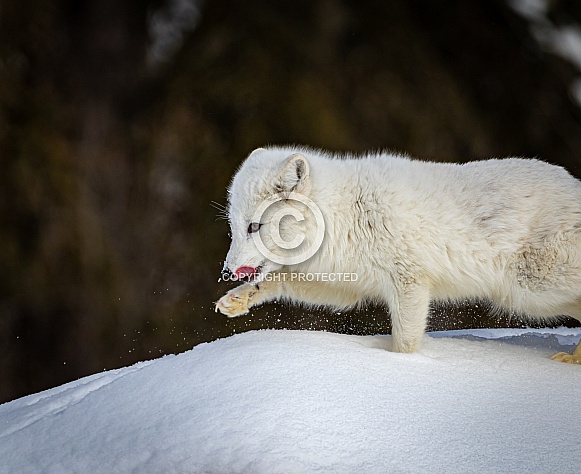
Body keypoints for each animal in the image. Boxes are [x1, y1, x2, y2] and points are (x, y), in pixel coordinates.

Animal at [215, 146, 580, 364]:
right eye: (233, 226)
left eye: (254, 226)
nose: (227, 272)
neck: (345, 215)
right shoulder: (348, 285)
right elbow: (281, 277)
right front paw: (239, 298)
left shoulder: (409, 282)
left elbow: (405, 343)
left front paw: (399, 367)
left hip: (534, 289)